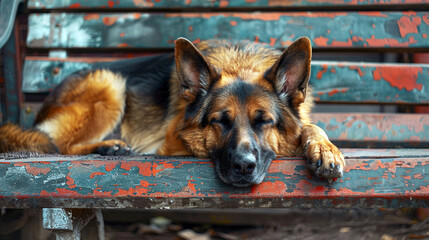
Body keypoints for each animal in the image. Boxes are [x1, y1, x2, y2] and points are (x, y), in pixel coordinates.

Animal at [0, 38, 342, 188]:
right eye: (220, 121)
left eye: (264, 122)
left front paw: (325, 148)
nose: (244, 166)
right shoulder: (172, 143)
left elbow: (310, 127)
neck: (240, 64)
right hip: (110, 82)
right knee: (60, 144)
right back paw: (108, 146)